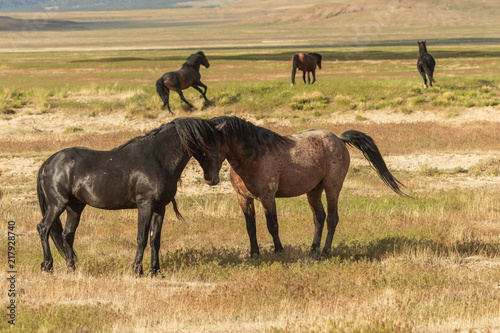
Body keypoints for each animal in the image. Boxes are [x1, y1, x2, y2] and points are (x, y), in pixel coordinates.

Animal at [36, 116, 222, 274]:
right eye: (210, 146)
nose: (213, 179)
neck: (158, 159)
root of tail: (48, 162)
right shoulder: (145, 205)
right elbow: (142, 238)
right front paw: (137, 270)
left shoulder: (160, 208)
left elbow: (155, 240)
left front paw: (155, 271)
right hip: (57, 204)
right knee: (43, 228)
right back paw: (48, 266)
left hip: (74, 207)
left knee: (67, 235)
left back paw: (71, 269)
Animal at [211, 116, 406, 256]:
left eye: (212, 145)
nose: (210, 178)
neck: (253, 156)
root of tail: (339, 139)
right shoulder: (243, 198)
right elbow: (250, 227)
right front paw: (254, 254)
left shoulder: (268, 197)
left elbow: (272, 225)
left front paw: (279, 252)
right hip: (313, 191)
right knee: (319, 218)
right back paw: (313, 250)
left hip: (332, 188)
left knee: (332, 218)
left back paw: (325, 251)